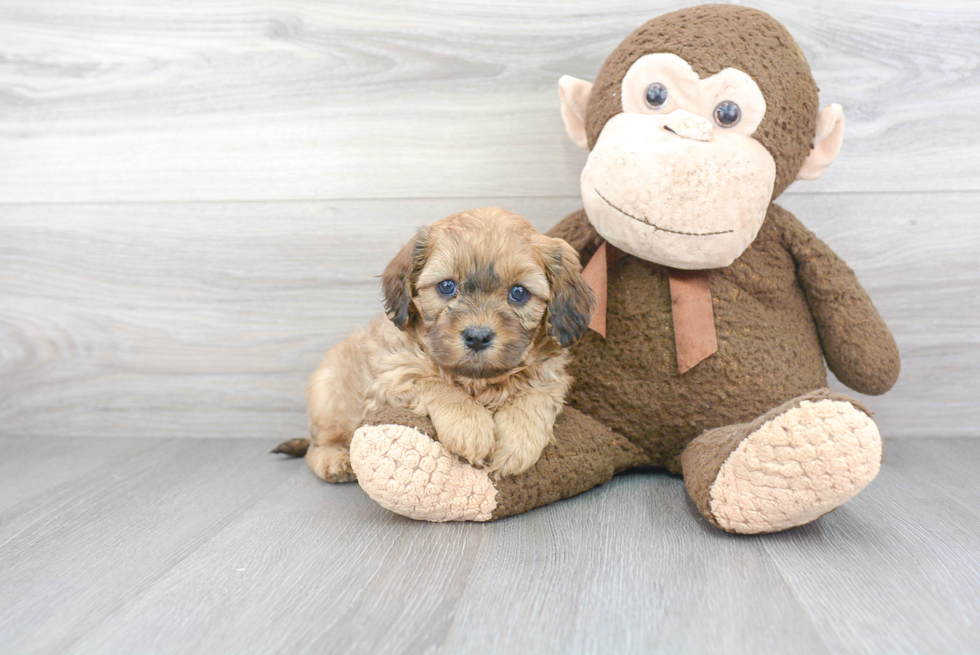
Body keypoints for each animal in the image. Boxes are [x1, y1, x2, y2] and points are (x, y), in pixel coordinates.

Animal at [278, 208, 596, 484]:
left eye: (519, 292)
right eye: (447, 286)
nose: (477, 336)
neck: (477, 382)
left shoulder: (551, 379)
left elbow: (533, 397)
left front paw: (518, 442)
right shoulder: (392, 378)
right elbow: (436, 385)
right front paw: (470, 426)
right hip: (327, 394)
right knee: (317, 447)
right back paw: (336, 461)